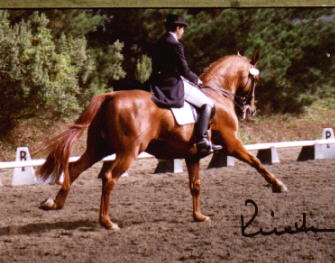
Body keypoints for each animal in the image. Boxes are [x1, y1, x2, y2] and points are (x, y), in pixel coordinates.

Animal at [37, 51, 288, 229]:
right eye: (255, 79)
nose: (251, 109)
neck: (216, 94)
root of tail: (111, 96)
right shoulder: (231, 144)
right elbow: (256, 162)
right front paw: (278, 185)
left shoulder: (193, 155)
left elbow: (195, 185)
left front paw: (199, 216)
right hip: (128, 152)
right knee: (108, 178)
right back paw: (107, 222)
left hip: (99, 148)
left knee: (74, 168)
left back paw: (54, 203)